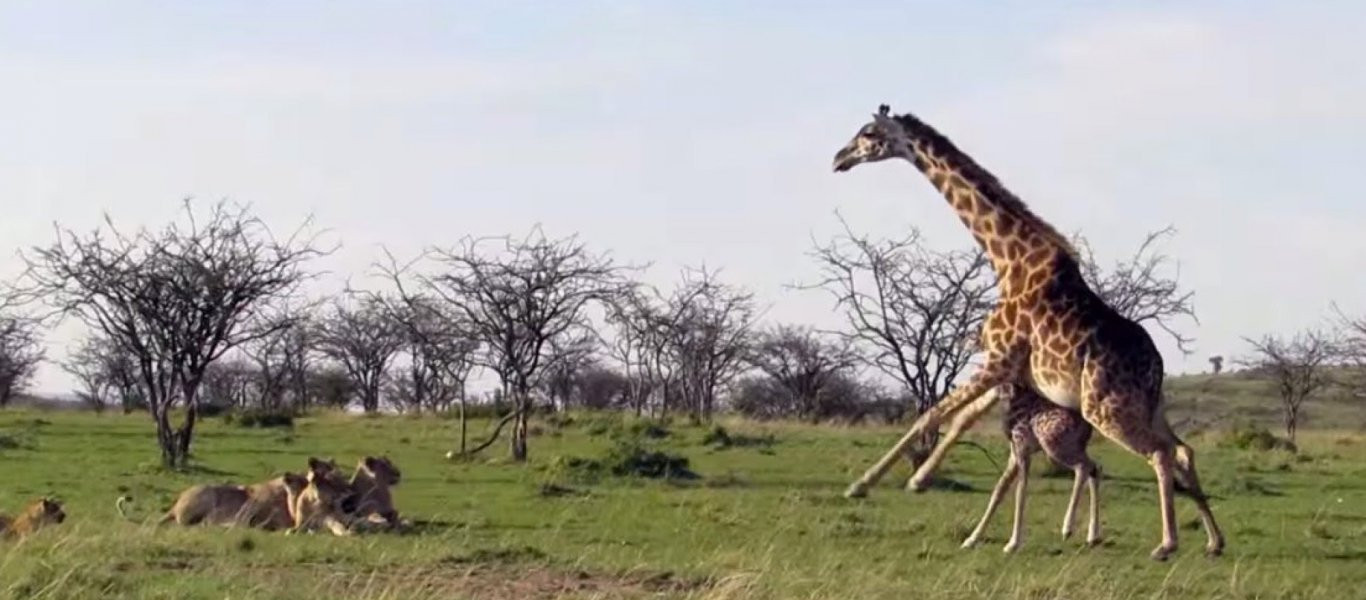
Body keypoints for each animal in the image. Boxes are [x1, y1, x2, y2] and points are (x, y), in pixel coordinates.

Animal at [956, 385, 1103, 554]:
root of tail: (1089, 425)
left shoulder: (1022, 449)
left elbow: (1020, 492)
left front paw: (1012, 544)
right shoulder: (1014, 453)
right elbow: (999, 491)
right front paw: (971, 540)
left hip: (1053, 446)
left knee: (1083, 467)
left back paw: (1067, 529)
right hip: (1070, 448)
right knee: (1095, 468)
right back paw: (1092, 537)